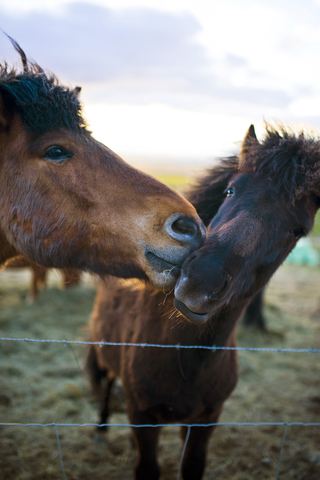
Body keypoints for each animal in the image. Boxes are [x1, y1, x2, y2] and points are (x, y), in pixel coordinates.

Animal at [87, 124, 320, 480]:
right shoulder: (143, 416)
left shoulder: (204, 421)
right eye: (230, 191)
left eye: (298, 230)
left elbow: (192, 466)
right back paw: (100, 428)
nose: (201, 283)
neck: (186, 357)